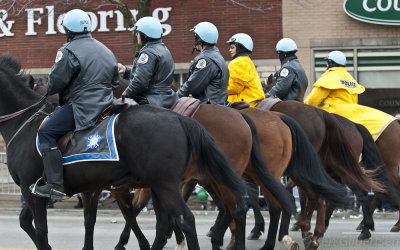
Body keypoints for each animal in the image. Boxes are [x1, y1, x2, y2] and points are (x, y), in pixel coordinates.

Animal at [0, 54, 248, 250]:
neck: (25, 122)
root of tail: (181, 119)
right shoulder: (43, 189)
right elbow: (27, 221)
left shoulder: (34, 190)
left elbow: (47, 230)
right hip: (177, 182)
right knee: (181, 220)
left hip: (170, 184)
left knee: (193, 217)